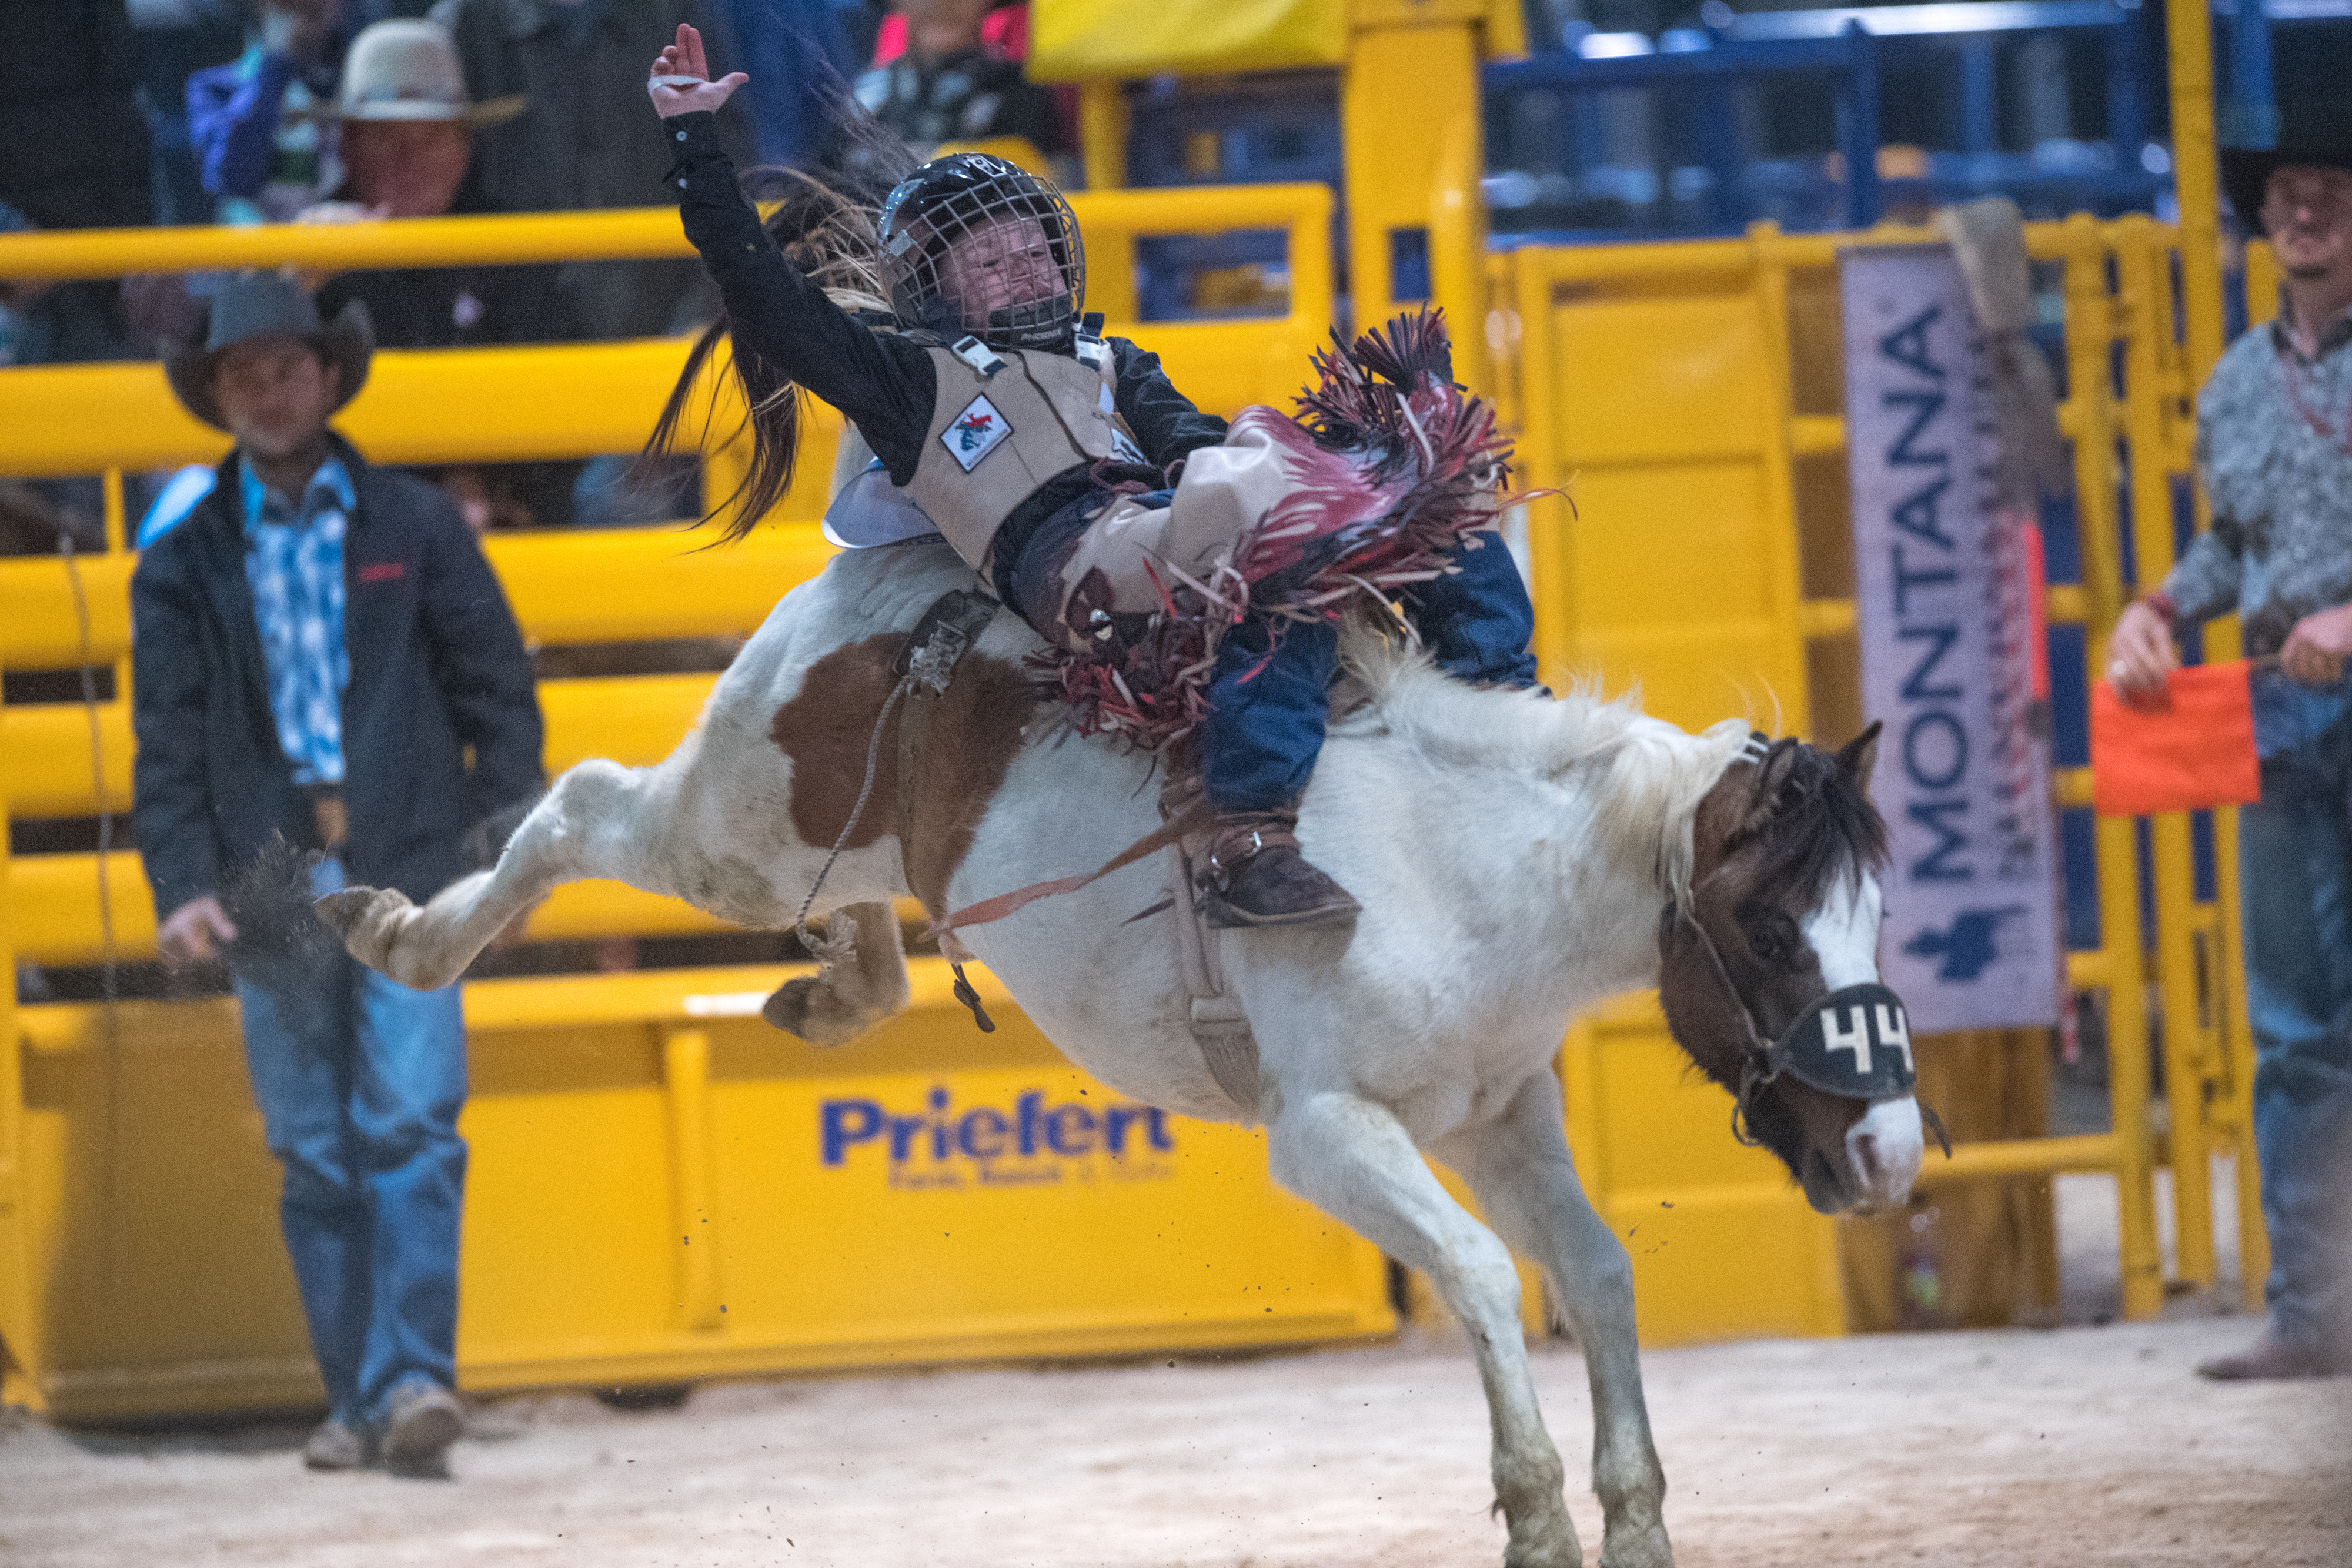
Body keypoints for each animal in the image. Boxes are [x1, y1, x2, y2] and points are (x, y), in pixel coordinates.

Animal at [318, 531, 1929, 1568]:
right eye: (1773, 932)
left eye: (1879, 917)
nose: (1888, 1154)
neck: (1457, 868)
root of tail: (887, 576)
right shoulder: (1329, 1134)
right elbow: (1478, 1273)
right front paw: (1531, 1518)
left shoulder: (1499, 1111)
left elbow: (1591, 1273)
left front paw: (1636, 1518)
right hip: (731, 832)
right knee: (580, 802)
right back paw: (399, 933)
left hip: (820, 847)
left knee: (848, 907)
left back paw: (835, 993)